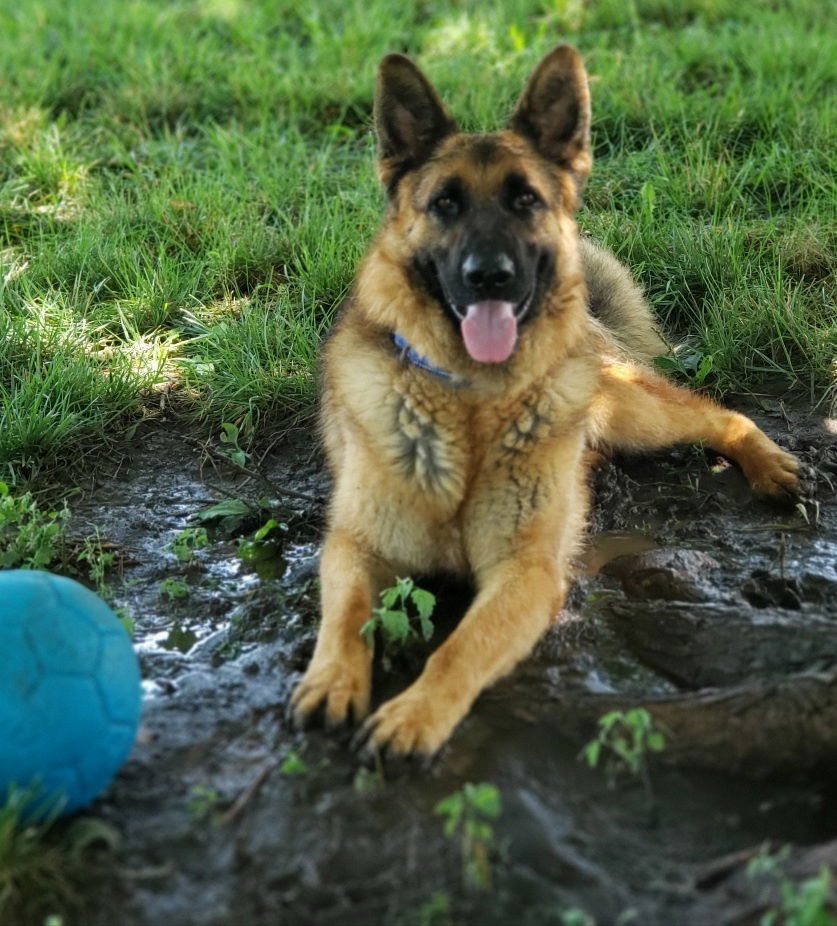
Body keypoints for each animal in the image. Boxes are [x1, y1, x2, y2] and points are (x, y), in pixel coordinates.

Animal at [290, 45, 800, 760]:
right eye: (445, 204)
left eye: (525, 199)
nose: (489, 277)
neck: (472, 407)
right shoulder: (354, 547)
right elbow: (346, 617)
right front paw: (332, 679)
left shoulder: (526, 575)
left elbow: (460, 648)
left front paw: (415, 714)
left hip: (630, 411)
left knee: (718, 413)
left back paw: (768, 465)